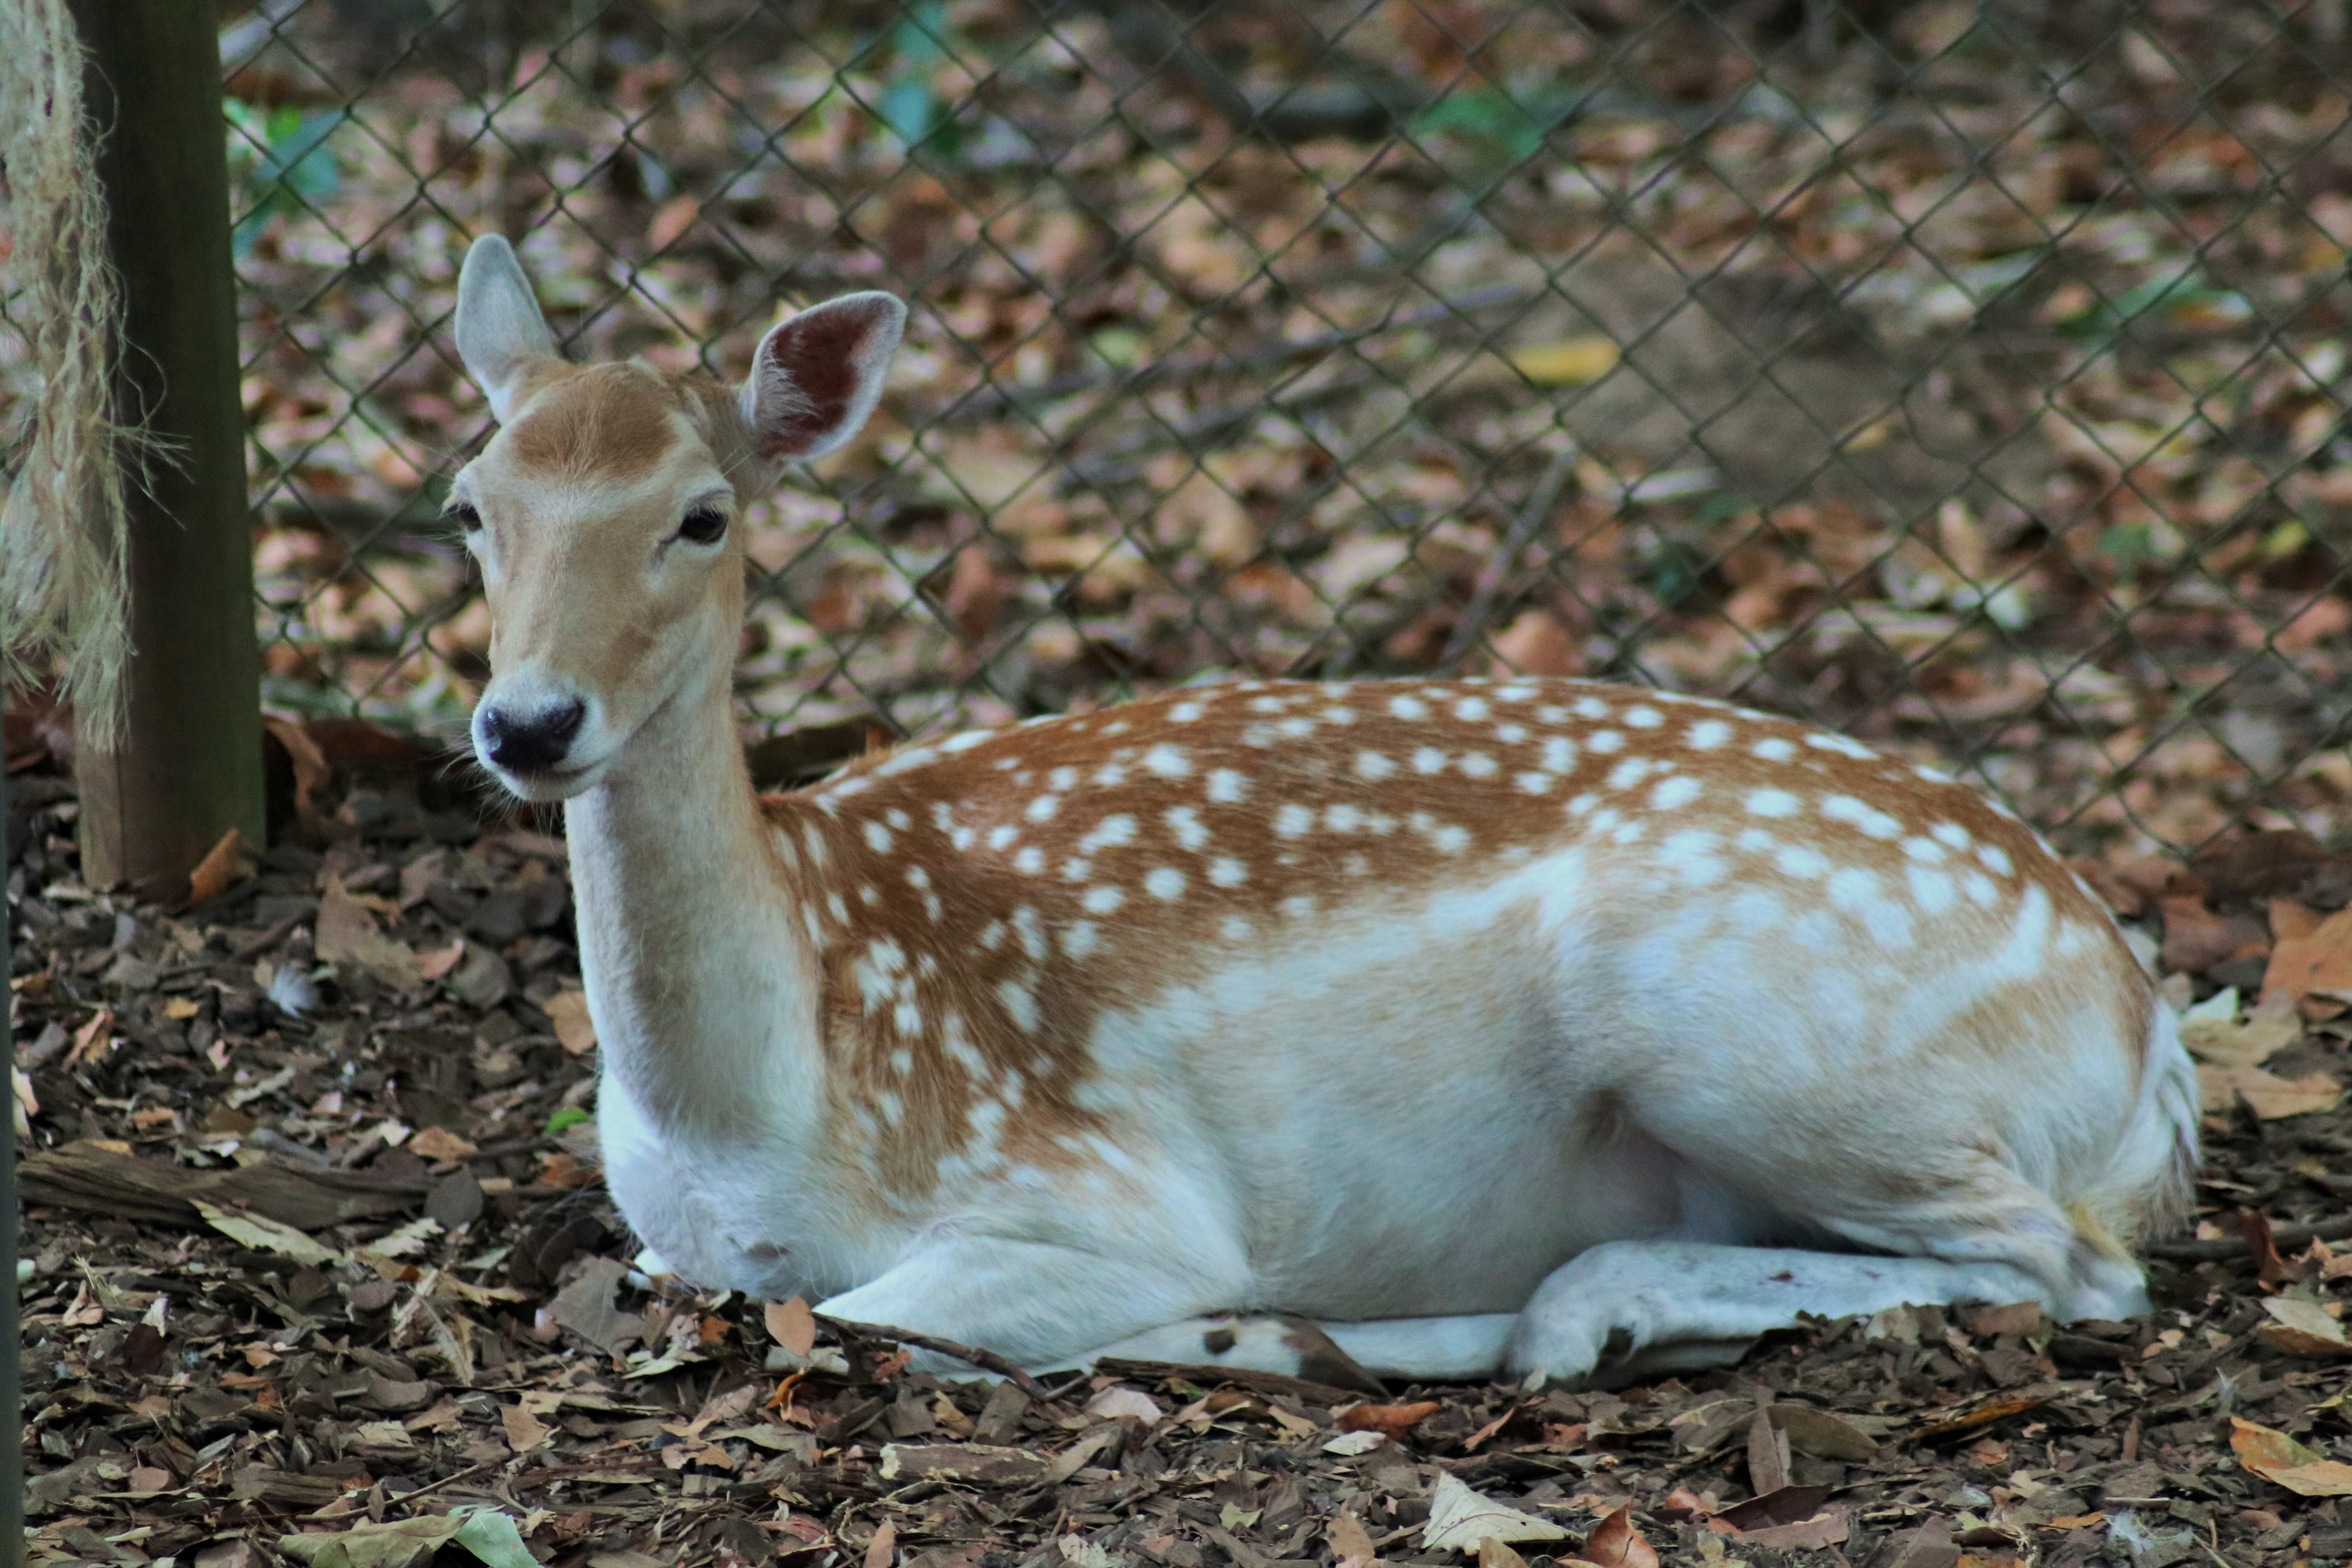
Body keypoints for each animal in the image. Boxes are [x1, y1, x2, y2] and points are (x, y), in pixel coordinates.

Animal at [447, 232, 2197, 1389]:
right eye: (470, 505)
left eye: (703, 514)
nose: (528, 721)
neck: (755, 1121)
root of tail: (2151, 1040)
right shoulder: (665, 1235)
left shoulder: (1095, 1198)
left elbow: (864, 1326)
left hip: (1755, 1021)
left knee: (2069, 1265)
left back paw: (1528, 1318)